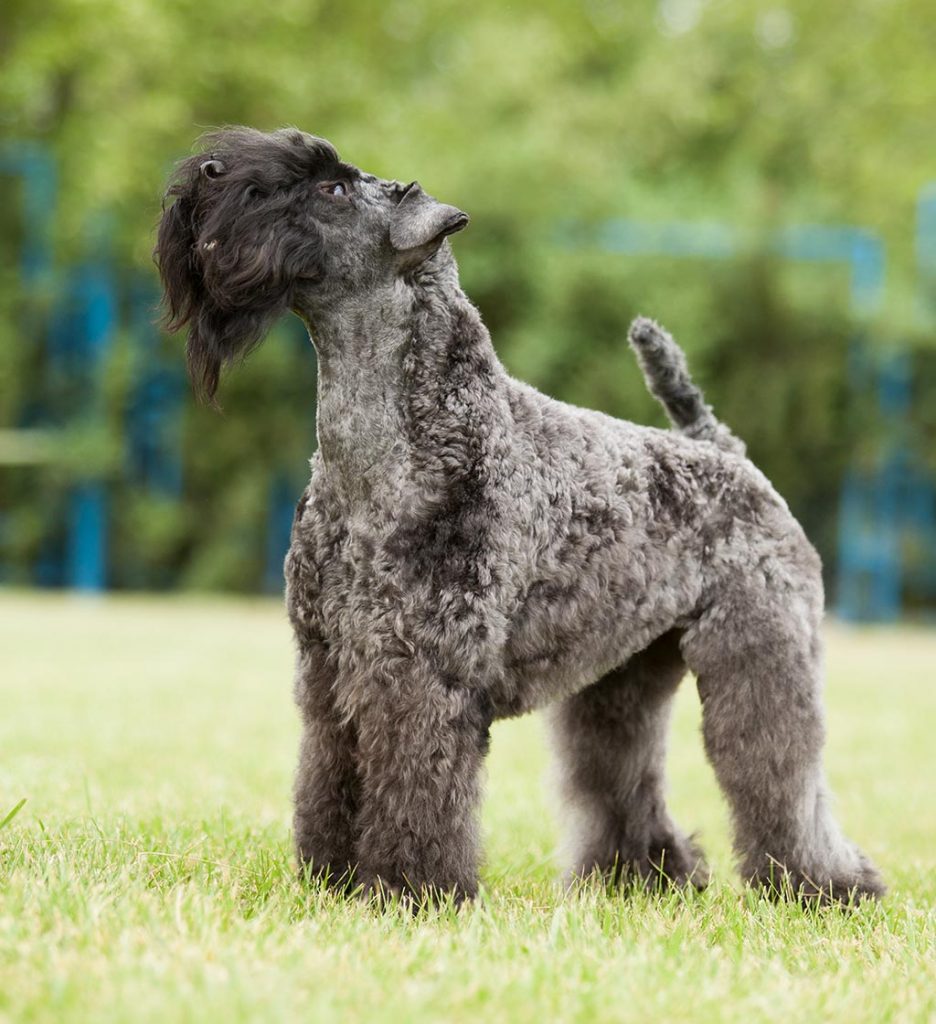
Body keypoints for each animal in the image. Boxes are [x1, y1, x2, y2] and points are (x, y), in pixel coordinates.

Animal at [154, 125, 884, 905]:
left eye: (334, 189)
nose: (208, 172)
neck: (399, 443)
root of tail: (726, 452)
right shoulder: (328, 668)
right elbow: (328, 778)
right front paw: (334, 881)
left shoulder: (422, 673)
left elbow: (416, 788)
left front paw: (411, 891)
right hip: (618, 683)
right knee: (621, 773)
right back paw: (639, 877)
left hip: (762, 655)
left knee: (780, 772)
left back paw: (828, 886)